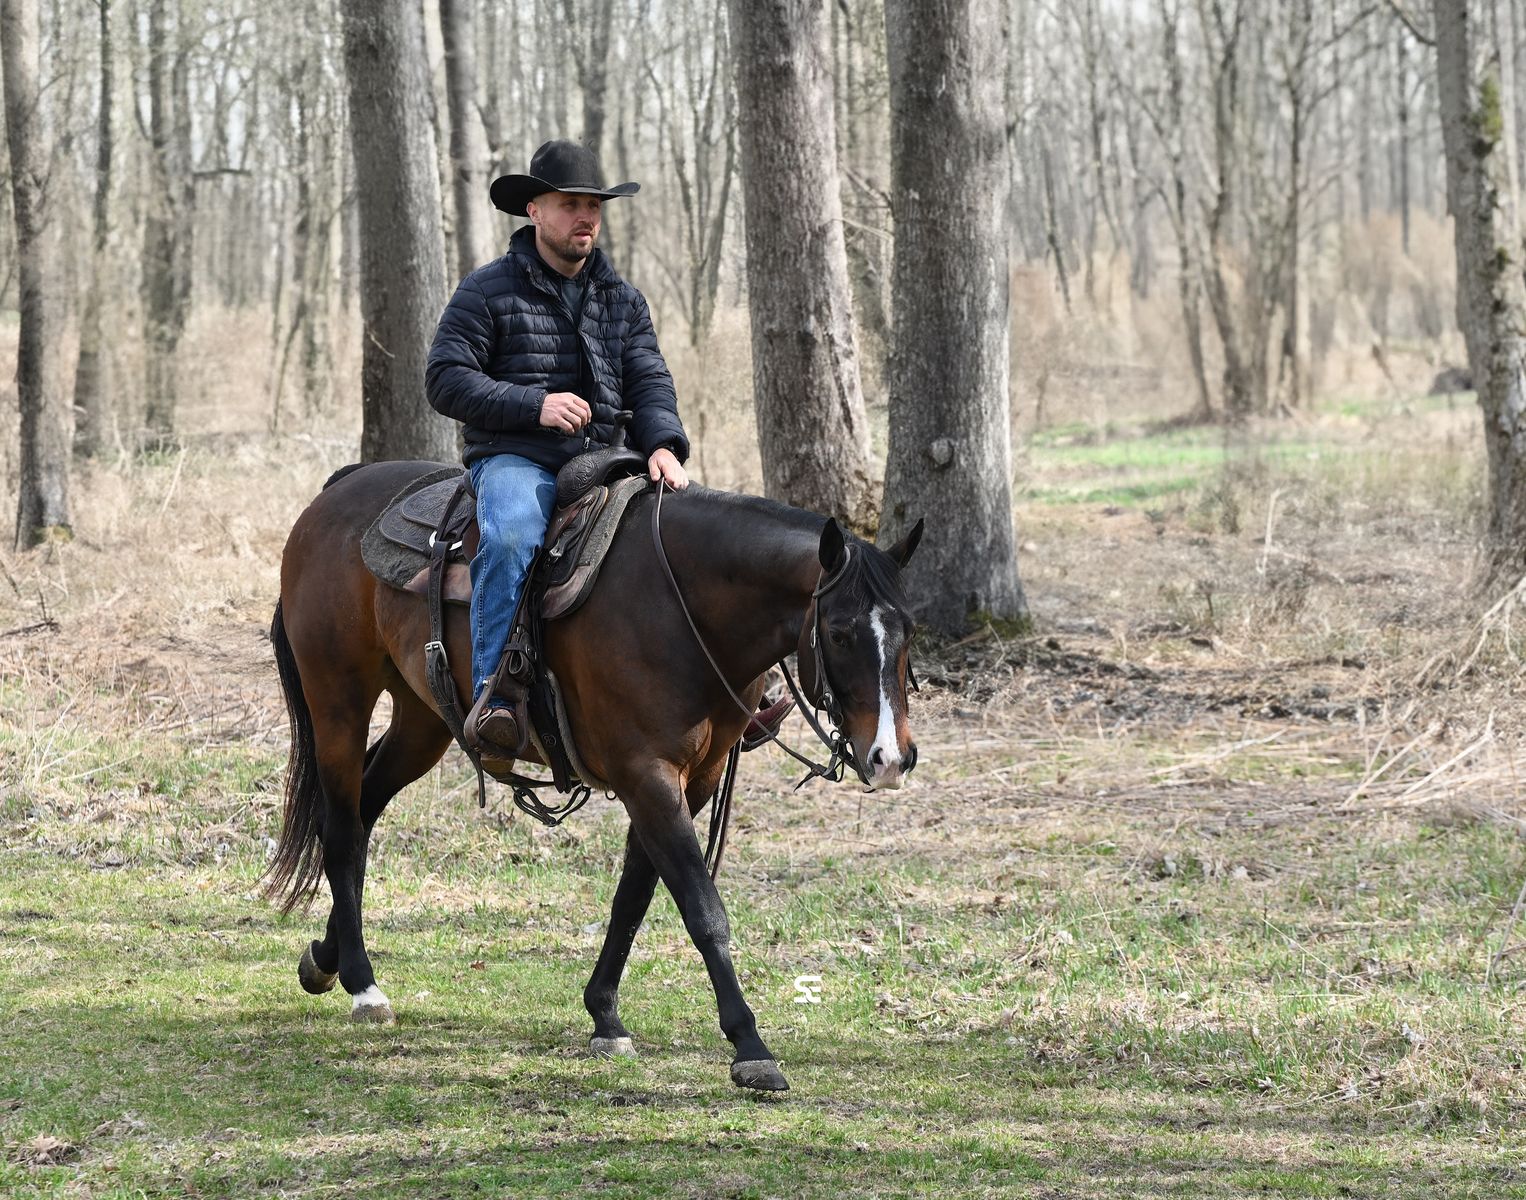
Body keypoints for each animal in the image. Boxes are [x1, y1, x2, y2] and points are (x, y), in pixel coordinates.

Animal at [264, 459, 923, 1092]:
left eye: (909, 632)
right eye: (838, 632)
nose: (890, 758)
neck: (680, 608)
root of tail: (337, 491)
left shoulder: (691, 782)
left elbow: (633, 896)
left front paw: (605, 1015)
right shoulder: (647, 778)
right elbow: (702, 909)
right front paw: (750, 1047)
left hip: (423, 719)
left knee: (365, 809)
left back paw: (326, 958)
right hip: (338, 700)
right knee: (341, 828)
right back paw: (362, 985)